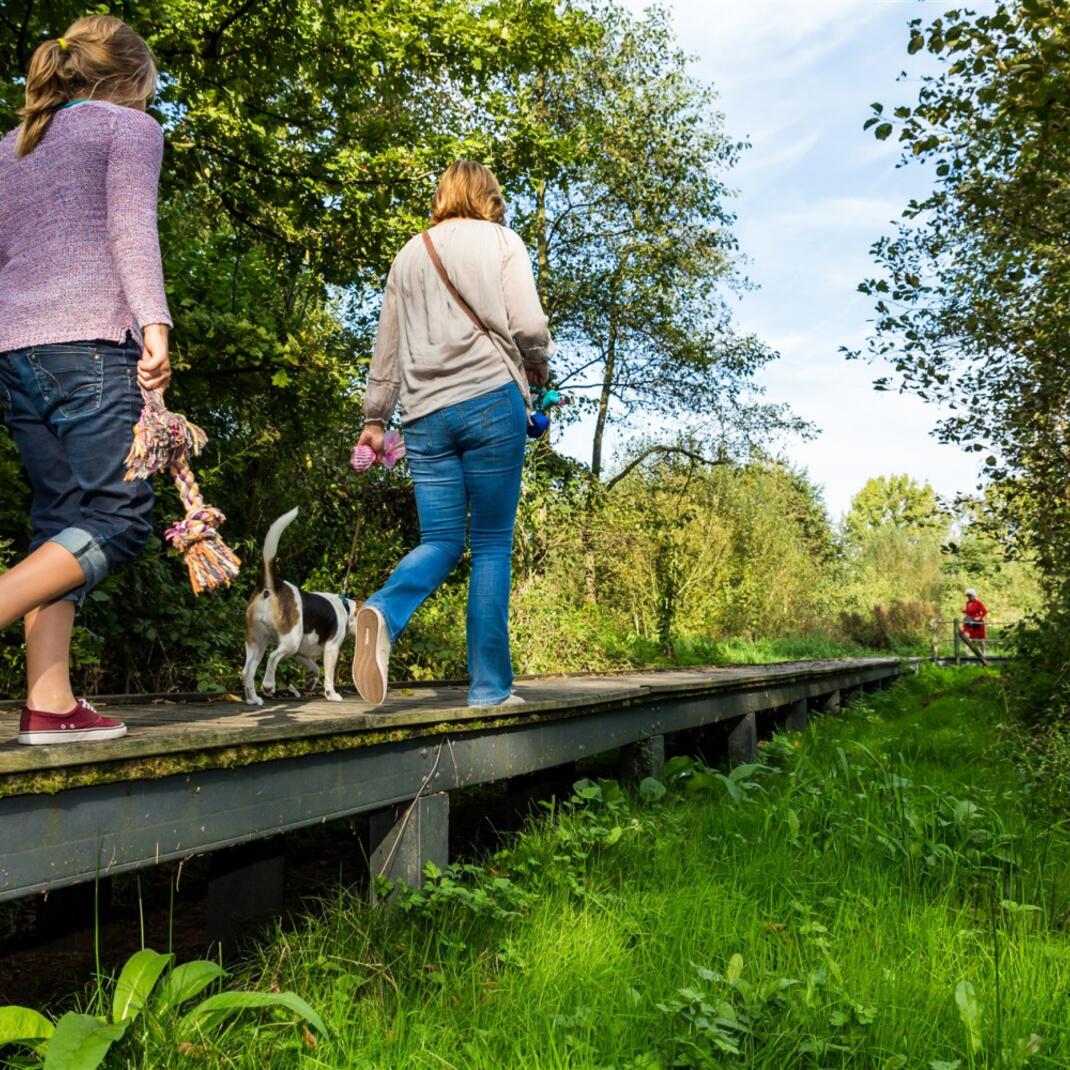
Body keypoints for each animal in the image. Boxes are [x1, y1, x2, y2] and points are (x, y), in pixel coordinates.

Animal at [242, 507, 359, 706]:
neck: (345, 607)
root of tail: (273, 586)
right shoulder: (331, 648)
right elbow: (328, 676)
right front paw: (332, 694)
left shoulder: (300, 654)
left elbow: (316, 669)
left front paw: (310, 682)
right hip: (290, 640)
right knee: (272, 657)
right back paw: (268, 686)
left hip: (257, 642)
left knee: (247, 671)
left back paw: (253, 699)